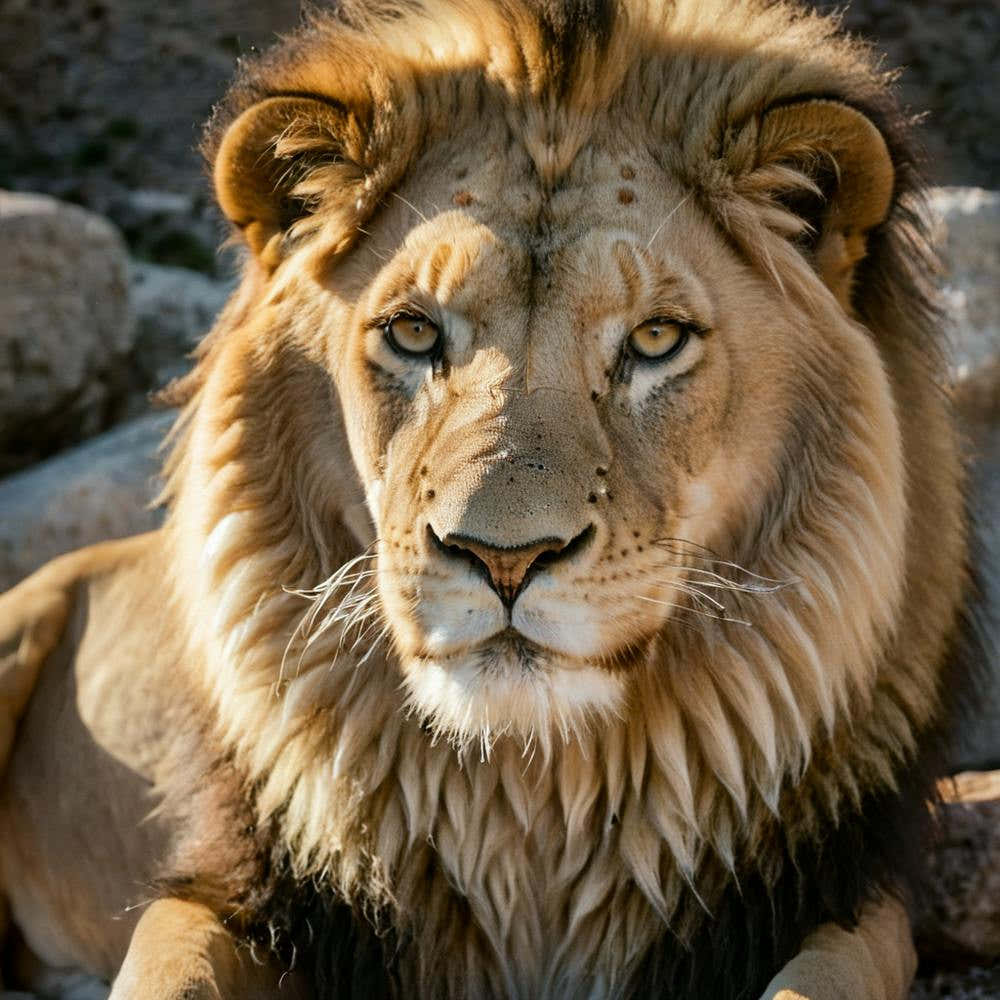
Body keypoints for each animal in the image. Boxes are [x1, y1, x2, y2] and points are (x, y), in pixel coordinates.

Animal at [0, 0, 979, 997]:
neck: (526, 796)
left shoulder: (835, 895)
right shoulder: (241, 886)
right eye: (413, 332)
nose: (505, 559)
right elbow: (170, 968)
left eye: (656, 339)